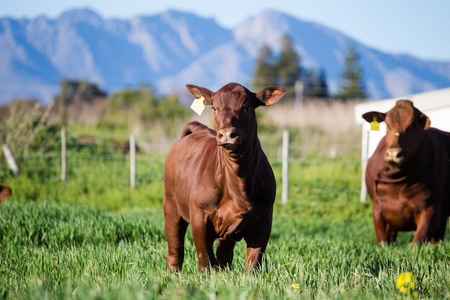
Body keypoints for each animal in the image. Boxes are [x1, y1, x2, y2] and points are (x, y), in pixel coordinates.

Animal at [163, 82, 286, 272]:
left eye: (246, 107)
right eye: (214, 107)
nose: (227, 134)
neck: (238, 181)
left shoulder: (264, 220)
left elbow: (253, 261)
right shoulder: (199, 218)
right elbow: (204, 259)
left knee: (223, 253)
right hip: (171, 206)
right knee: (175, 249)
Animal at [362, 99, 450, 245]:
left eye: (412, 125)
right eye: (387, 124)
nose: (393, 154)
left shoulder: (430, 208)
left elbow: (417, 242)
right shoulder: (377, 209)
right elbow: (382, 241)